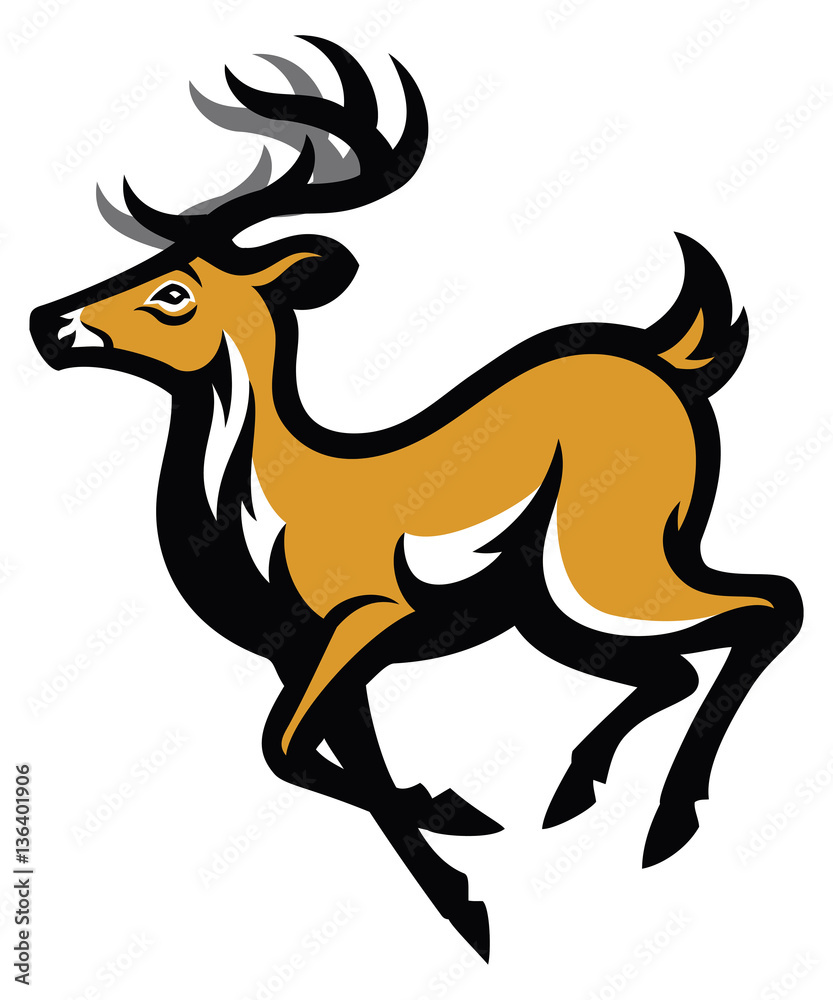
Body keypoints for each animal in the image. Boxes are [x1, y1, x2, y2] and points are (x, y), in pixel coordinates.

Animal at [30, 36, 802, 961]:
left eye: (174, 291)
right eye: (141, 264)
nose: (47, 322)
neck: (264, 503)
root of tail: (669, 359)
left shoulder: (370, 618)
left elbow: (280, 747)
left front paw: (458, 817)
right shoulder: (306, 659)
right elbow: (330, 760)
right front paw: (467, 906)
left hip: (609, 564)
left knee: (770, 605)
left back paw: (665, 825)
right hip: (549, 610)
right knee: (674, 666)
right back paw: (570, 793)